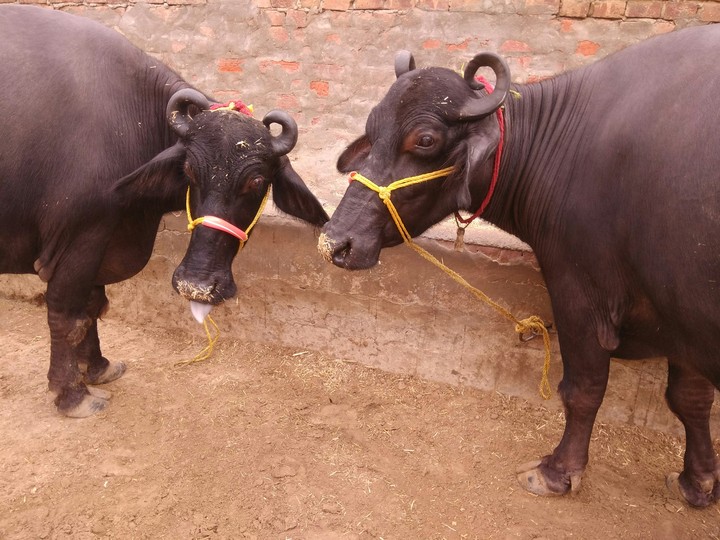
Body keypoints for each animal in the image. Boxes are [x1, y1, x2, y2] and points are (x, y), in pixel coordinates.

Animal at [0, 6, 328, 417]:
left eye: (256, 182)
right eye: (189, 171)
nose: (196, 286)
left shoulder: (104, 238)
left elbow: (94, 305)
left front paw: (99, 367)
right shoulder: (77, 242)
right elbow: (67, 315)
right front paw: (71, 393)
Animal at [319, 25, 720, 507]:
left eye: (426, 140)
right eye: (372, 130)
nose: (336, 242)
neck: (560, 148)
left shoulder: (579, 293)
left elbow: (583, 389)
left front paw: (557, 472)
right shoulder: (680, 320)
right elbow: (690, 397)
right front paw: (698, 480)